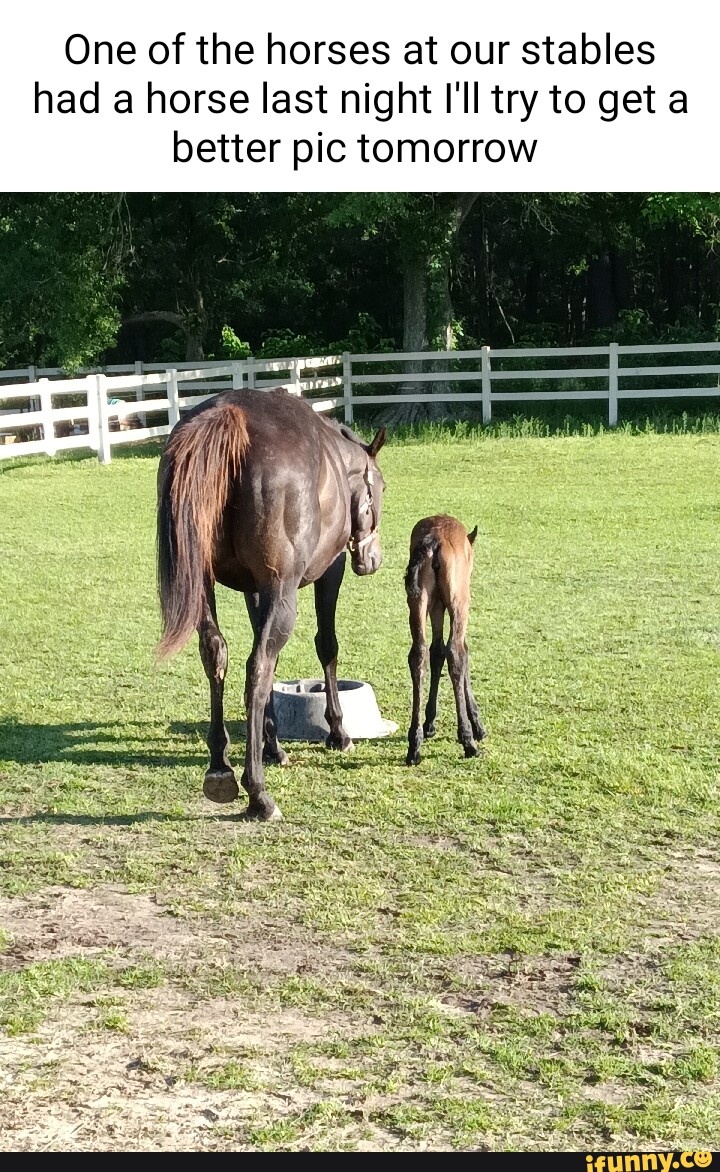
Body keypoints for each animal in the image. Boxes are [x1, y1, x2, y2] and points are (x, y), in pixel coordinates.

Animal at [155, 389, 386, 820]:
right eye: (380, 488)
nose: (372, 558)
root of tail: (229, 415)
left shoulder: (257, 590)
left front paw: (272, 745)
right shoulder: (323, 573)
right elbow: (325, 646)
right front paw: (338, 731)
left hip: (205, 588)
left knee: (218, 654)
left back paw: (220, 767)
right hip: (284, 592)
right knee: (257, 668)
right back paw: (258, 792)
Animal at [403, 515, 487, 768]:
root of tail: (434, 540)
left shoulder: (437, 605)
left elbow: (436, 651)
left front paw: (429, 722)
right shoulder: (453, 603)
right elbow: (461, 651)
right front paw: (477, 725)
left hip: (418, 599)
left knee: (418, 654)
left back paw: (414, 744)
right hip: (459, 599)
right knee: (456, 652)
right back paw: (468, 741)